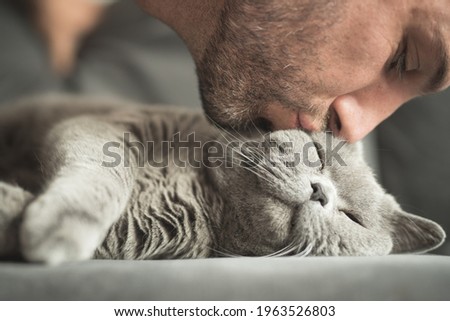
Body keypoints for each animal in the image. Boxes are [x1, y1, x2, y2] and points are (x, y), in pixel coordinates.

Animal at [0, 94, 444, 262]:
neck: (205, 195)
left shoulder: (132, 233)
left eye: (353, 219)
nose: (320, 192)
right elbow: (107, 171)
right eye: (318, 154)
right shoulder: (109, 124)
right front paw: (60, 227)